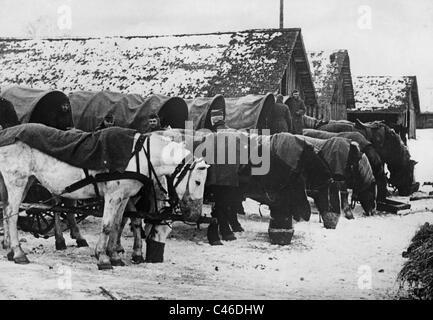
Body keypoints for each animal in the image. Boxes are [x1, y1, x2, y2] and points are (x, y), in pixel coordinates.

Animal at [0, 131, 209, 268]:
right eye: (198, 181)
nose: (195, 215)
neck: (139, 156)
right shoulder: (113, 195)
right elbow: (107, 226)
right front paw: (102, 257)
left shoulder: (124, 197)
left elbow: (118, 225)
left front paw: (115, 255)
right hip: (17, 182)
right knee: (12, 214)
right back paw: (18, 253)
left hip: (27, 181)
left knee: (6, 209)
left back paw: (10, 250)